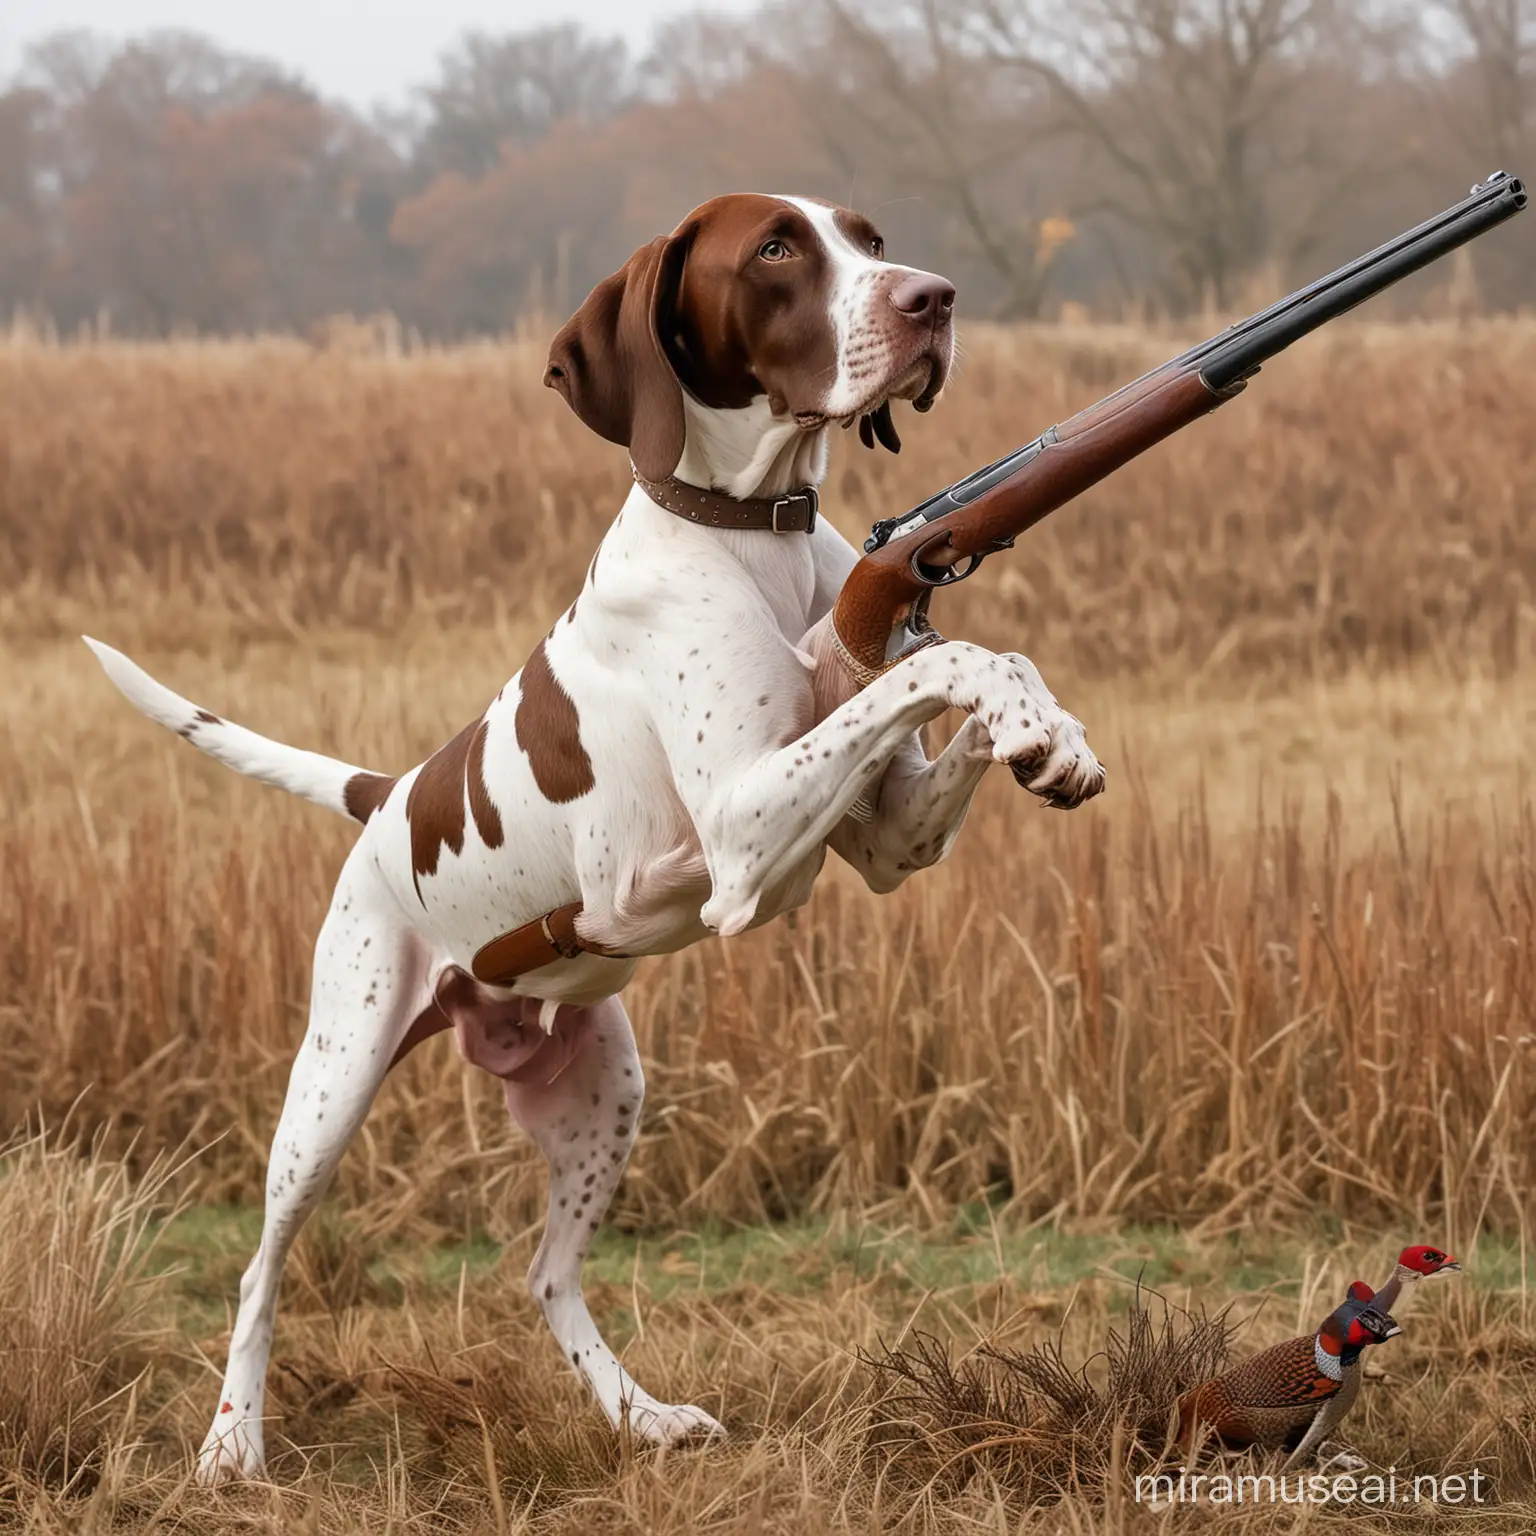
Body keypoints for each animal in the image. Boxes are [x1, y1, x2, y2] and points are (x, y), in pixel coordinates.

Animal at [87, 192, 1105, 1474]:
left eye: (870, 239)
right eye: (777, 249)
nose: (935, 298)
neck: (753, 535)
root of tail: (387, 796)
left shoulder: (885, 844)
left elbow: (964, 671)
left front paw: (1049, 730)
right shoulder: (738, 841)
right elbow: (943, 663)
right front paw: (1017, 707)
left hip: (602, 1090)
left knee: (545, 1274)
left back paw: (640, 1415)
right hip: (331, 1087)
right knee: (260, 1273)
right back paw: (233, 1448)